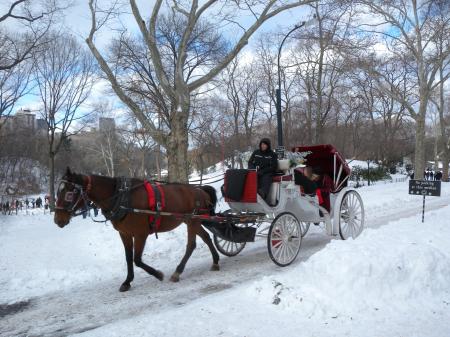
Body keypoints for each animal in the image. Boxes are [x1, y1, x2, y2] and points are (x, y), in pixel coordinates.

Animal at [54, 167, 220, 290]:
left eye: (69, 192)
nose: (57, 220)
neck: (122, 197)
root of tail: (200, 190)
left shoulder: (141, 234)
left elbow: (137, 259)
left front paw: (158, 274)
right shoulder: (125, 233)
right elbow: (128, 258)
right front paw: (127, 281)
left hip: (192, 221)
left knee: (191, 245)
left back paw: (178, 271)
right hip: (192, 221)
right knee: (206, 237)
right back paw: (215, 261)